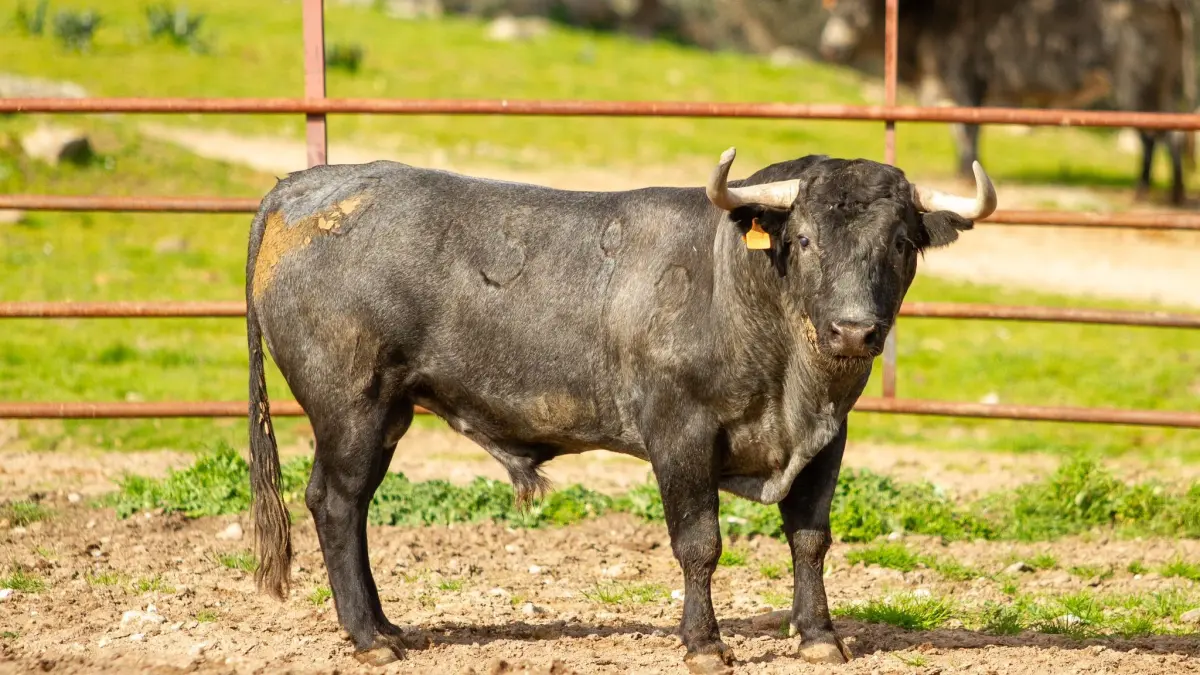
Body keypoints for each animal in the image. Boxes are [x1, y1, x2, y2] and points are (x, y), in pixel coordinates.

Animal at [244, 149, 997, 672]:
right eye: (806, 238)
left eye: (899, 241)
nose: (853, 331)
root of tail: (307, 186)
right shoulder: (680, 434)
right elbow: (699, 543)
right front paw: (704, 643)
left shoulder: (827, 440)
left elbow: (809, 537)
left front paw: (818, 636)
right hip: (351, 405)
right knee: (336, 502)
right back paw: (369, 638)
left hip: (388, 413)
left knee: (355, 507)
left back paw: (388, 627)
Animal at [817, 0, 1196, 205]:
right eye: (838, 9)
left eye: (858, 10)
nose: (830, 48)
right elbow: (959, 129)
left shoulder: (964, 79)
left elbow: (969, 128)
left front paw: (965, 168)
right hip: (1164, 83)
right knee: (1173, 135)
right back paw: (1176, 192)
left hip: (1136, 82)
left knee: (1150, 135)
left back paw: (1142, 190)